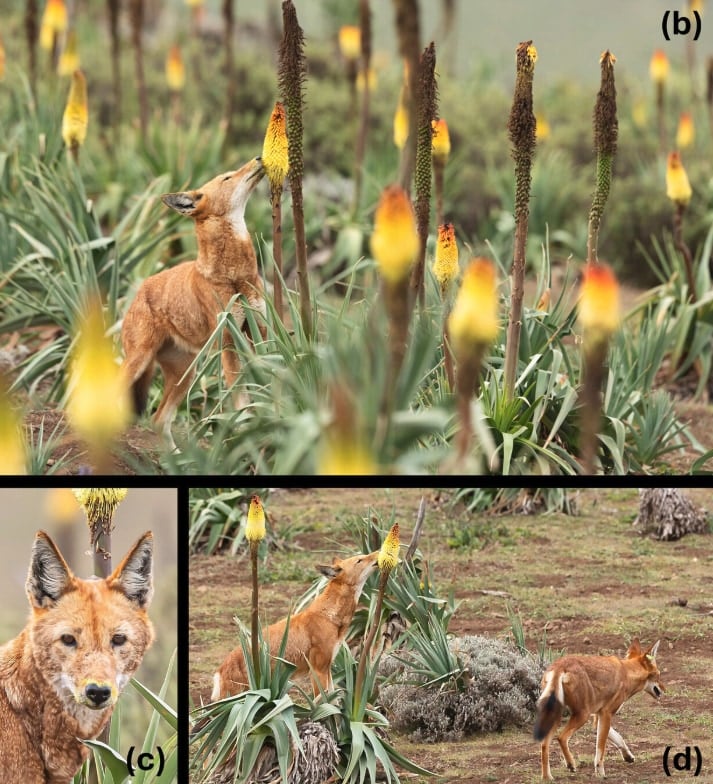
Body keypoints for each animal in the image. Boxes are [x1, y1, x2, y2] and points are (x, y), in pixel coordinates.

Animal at [211, 552, 378, 700]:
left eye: (363, 556)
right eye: (360, 560)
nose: (379, 552)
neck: (329, 616)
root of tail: (221, 668)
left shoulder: (327, 670)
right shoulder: (317, 671)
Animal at [536, 640, 660, 780]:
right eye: (659, 675)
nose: (663, 690)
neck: (627, 672)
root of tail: (560, 666)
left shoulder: (598, 717)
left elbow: (619, 738)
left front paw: (628, 756)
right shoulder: (606, 714)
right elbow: (601, 749)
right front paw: (600, 773)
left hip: (557, 716)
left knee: (544, 744)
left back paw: (547, 777)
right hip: (582, 716)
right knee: (561, 737)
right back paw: (571, 764)